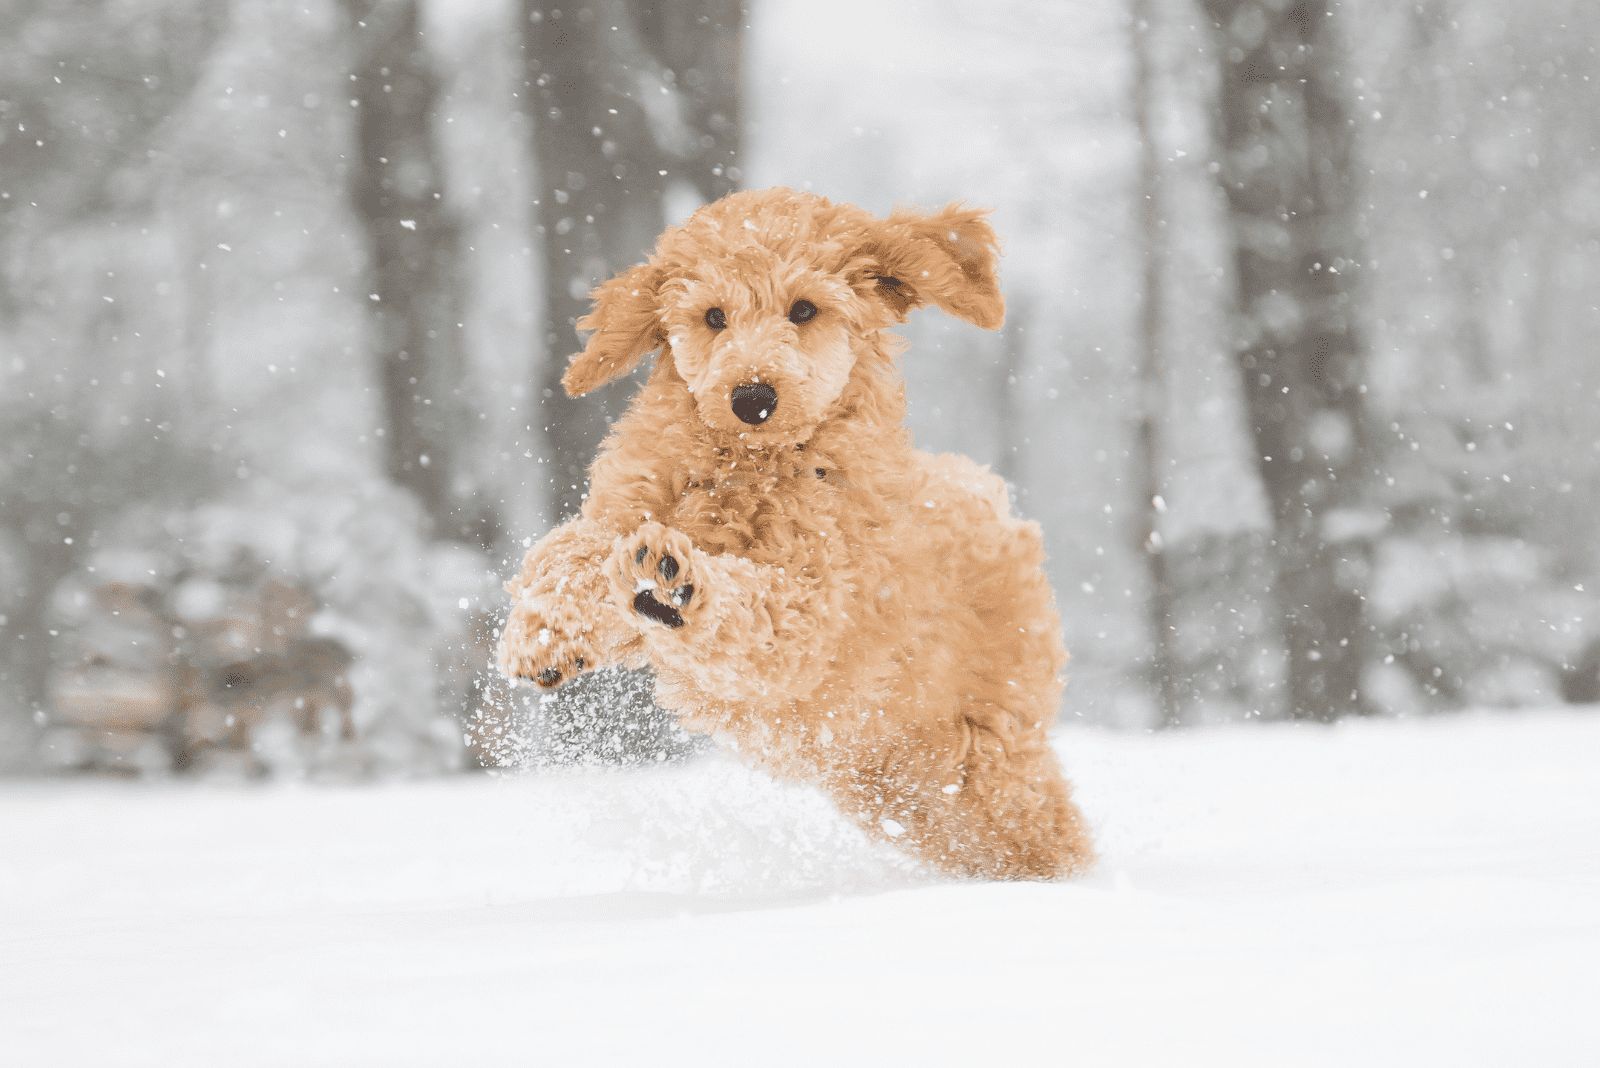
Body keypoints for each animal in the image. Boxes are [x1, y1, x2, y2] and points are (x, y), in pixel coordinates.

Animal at [502, 187, 1100, 882]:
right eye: (713, 316)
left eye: (805, 309)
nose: (752, 397)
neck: (748, 468)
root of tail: (997, 507)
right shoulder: (629, 507)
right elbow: (569, 549)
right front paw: (541, 636)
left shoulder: (814, 610)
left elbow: (758, 606)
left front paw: (677, 585)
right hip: (895, 779)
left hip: (987, 749)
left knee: (1040, 826)